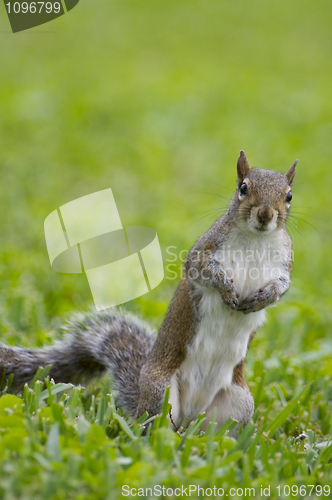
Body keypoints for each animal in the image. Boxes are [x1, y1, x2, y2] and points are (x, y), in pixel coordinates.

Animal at [0, 151, 296, 438]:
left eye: (289, 196)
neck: (255, 238)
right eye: (243, 188)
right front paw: (226, 289)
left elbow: (281, 287)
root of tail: (190, 415)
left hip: (239, 403)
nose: (266, 215)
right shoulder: (206, 248)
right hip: (159, 391)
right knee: (151, 426)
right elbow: (200, 269)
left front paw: (262, 299)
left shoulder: (283, 264)